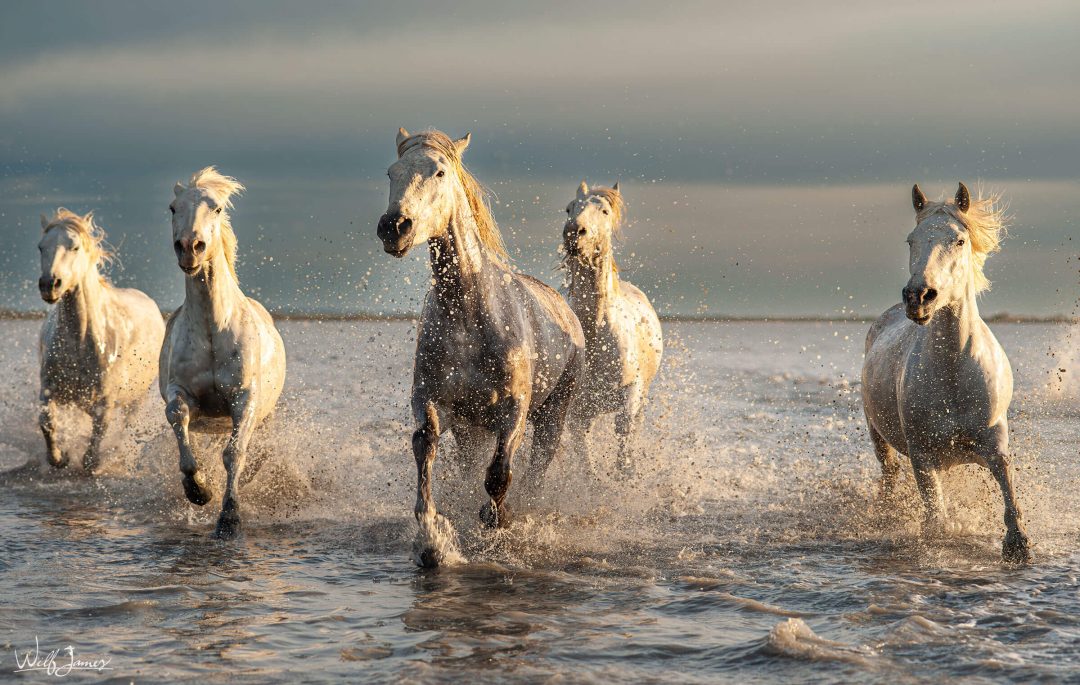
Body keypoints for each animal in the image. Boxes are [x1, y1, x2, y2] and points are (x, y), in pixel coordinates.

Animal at [36, 208, 165, 472]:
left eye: (74, 246)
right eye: (41, 247)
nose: (49, 285)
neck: (82, 342)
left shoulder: (104, 402)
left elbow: (98, 437)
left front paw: (91, 462)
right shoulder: (49, 389)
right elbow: (46, 421)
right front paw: (59, 457)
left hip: (137, 399)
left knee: (126, 426)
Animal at [159, 167, 287, 539]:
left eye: (216, 208)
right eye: (173, 208)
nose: (190, 247)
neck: (214, 329)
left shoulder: (244, 399)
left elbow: (234, 454)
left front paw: (229, 518)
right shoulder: (180, 392)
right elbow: (178, 419)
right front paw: (199, 489)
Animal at [377, 128, 585, 568]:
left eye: (439, 171)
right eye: (391, 171)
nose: (394, 226)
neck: (470, 318)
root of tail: (567, 312)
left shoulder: (513, 410)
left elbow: (499, 475)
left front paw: (497, 522)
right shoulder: (430, 400)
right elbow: (425, 447)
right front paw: (432, 537)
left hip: (553, 415)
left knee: (537, 468)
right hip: (470, 430)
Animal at [561, 181, 663, 474]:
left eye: (604, 211)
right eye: (570, 208)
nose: (574, 233)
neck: (596, 333)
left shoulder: (632, 391)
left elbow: (624, 429)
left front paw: (625, 471)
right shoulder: (577, 409)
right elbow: (584, 453)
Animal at [861, 182, 1030, 563]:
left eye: (959, 240)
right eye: (911, 240)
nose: (919, 296)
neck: (953, 373)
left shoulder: (994, 442)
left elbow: (1008, 488)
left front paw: (1018, 544)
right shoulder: (923, 457)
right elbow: (935, 516)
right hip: (878, 436)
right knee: (889, 476)